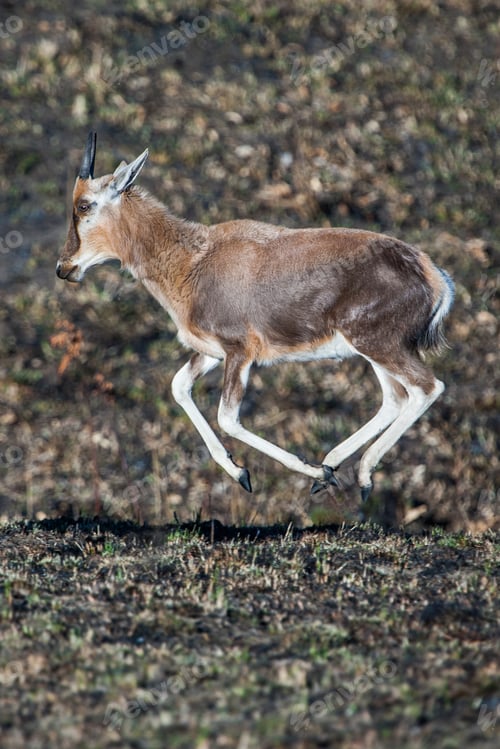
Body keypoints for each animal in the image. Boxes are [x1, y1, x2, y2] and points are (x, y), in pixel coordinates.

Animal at [57, 132, 454, 506]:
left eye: (85, 205)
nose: (64, 267)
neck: (196, 257)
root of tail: (431, 274)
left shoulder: (240, 353)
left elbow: (228, 418)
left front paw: (294, 471)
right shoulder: (212, 353)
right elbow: (179, 386)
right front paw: (242, 472)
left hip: (379, 347)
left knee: (427, 388)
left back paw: (344, 472)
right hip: (373, 353)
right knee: (395, 398)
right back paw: (341, 469)